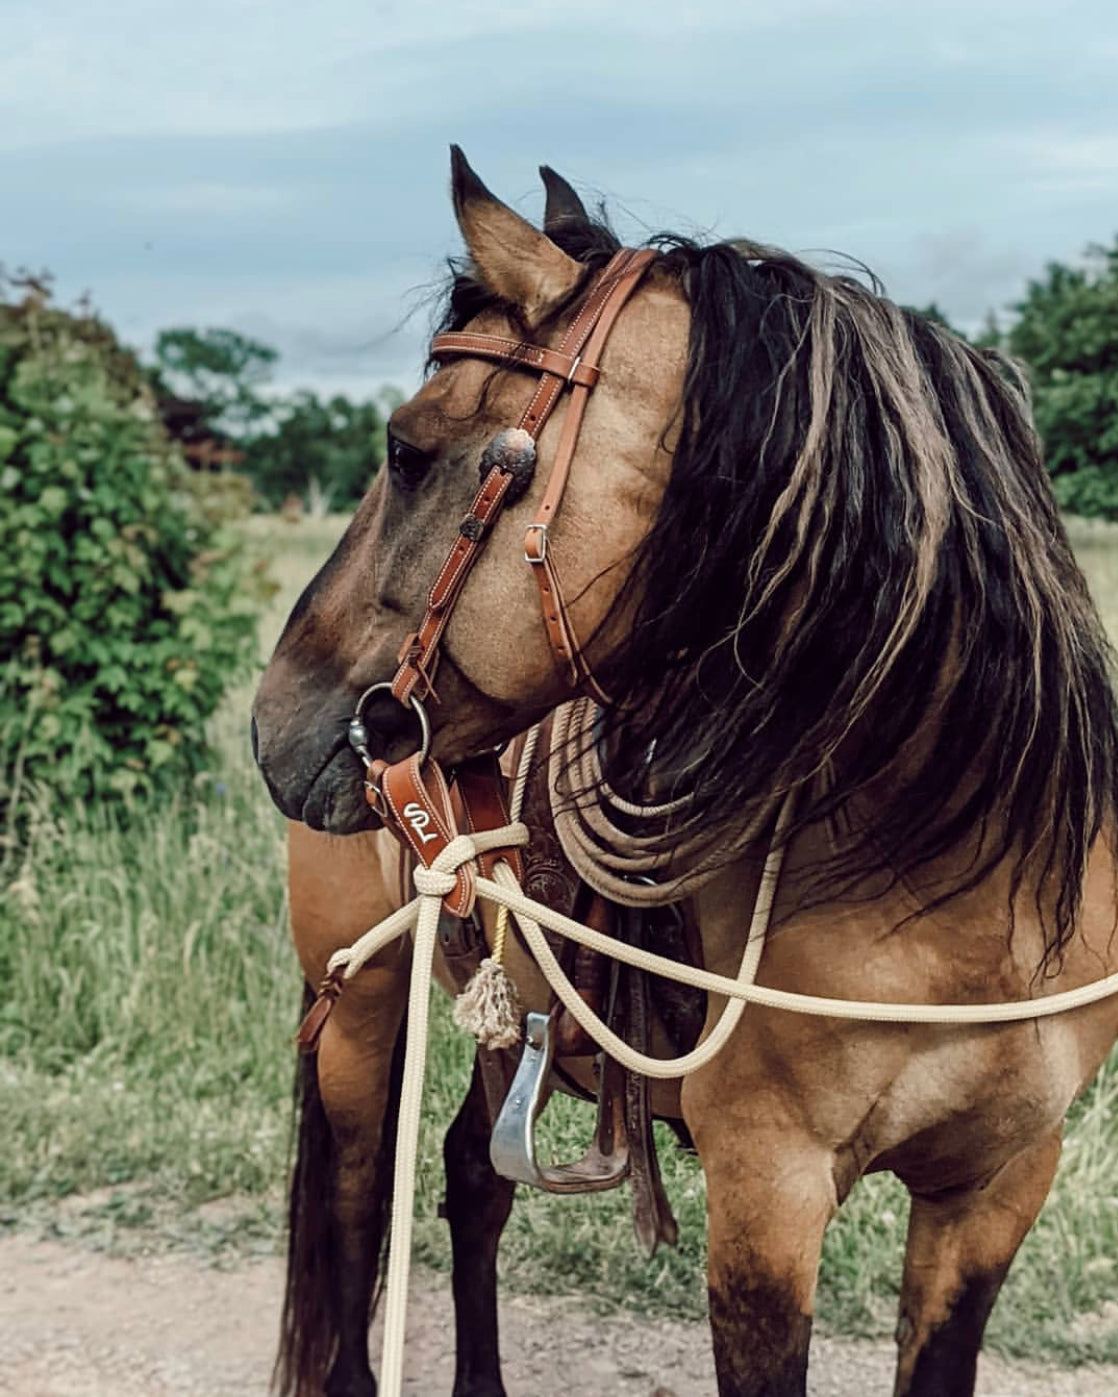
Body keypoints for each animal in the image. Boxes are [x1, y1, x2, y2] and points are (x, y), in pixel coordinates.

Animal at [251, 152, 1118, 1397]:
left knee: (470, 1177)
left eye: (407, 450)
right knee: (352, 1220)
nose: (277, 717)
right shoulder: (766, 1199)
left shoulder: (996, 1185)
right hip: (361, 1013)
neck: (953, 881)